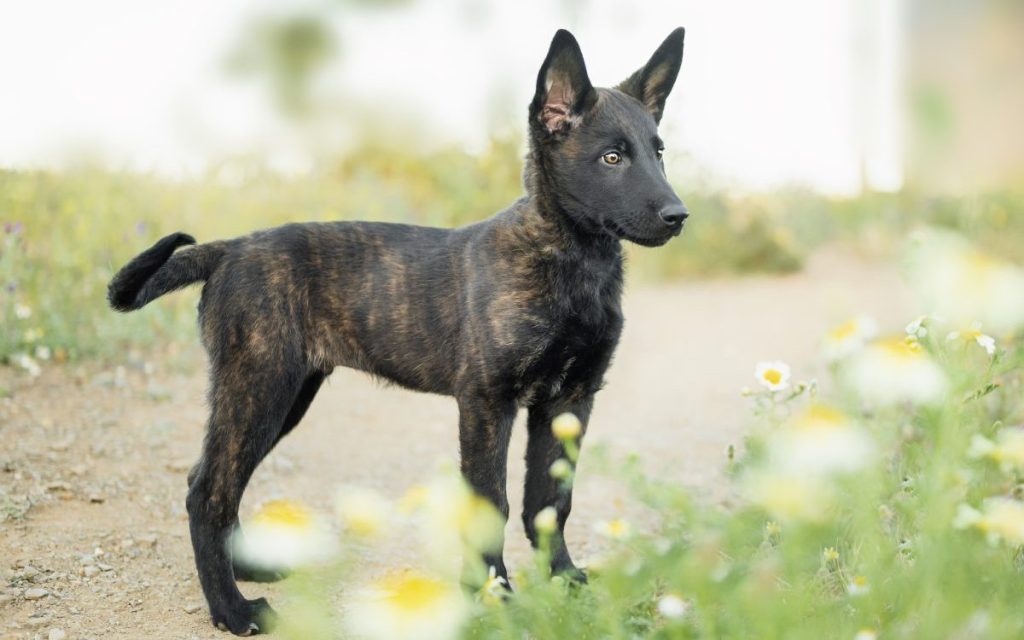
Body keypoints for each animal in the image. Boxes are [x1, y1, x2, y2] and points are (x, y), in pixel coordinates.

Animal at [108, 26, 688, 634]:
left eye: (659, 152)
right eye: (612, 156)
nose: (679, 216)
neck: (571, 261)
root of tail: (230, 249)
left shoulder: (570, 400)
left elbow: (551, 502)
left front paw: (565, 580)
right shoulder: (487, 402)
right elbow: (493, 504)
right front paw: (492, 596)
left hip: (283, 396)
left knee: (219, 483)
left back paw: (247, 572)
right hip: (258, 387)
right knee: (208, 493)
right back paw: (233, 609)